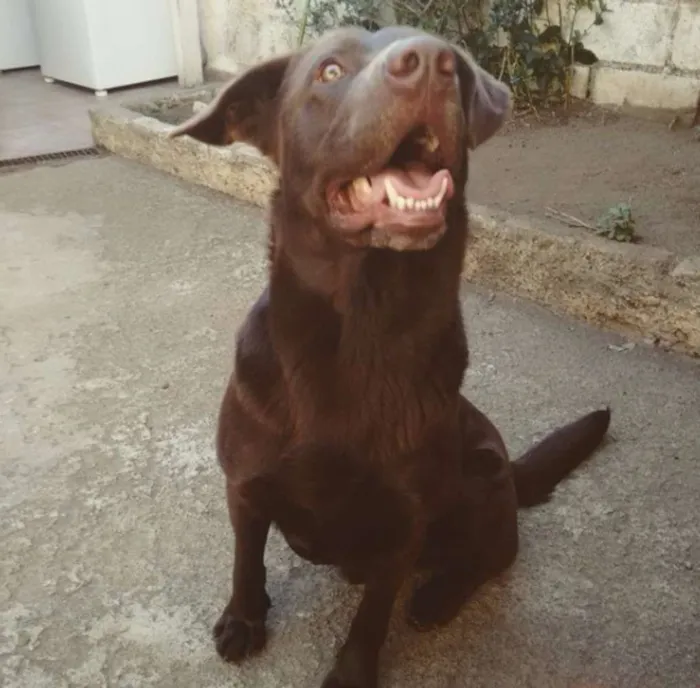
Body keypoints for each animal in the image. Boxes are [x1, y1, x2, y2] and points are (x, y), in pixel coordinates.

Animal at [171, 24, 612, 684]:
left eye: (450, 60)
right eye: (328, 70)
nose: (430, 63)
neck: (362, 326)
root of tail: (513, 473)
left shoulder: (403, 526)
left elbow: (372, 617)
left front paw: (352, 672)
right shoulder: (244, 484)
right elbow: (246, 560)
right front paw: (245, 619)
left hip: (484, 469)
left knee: (499, 554)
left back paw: (438, 596)